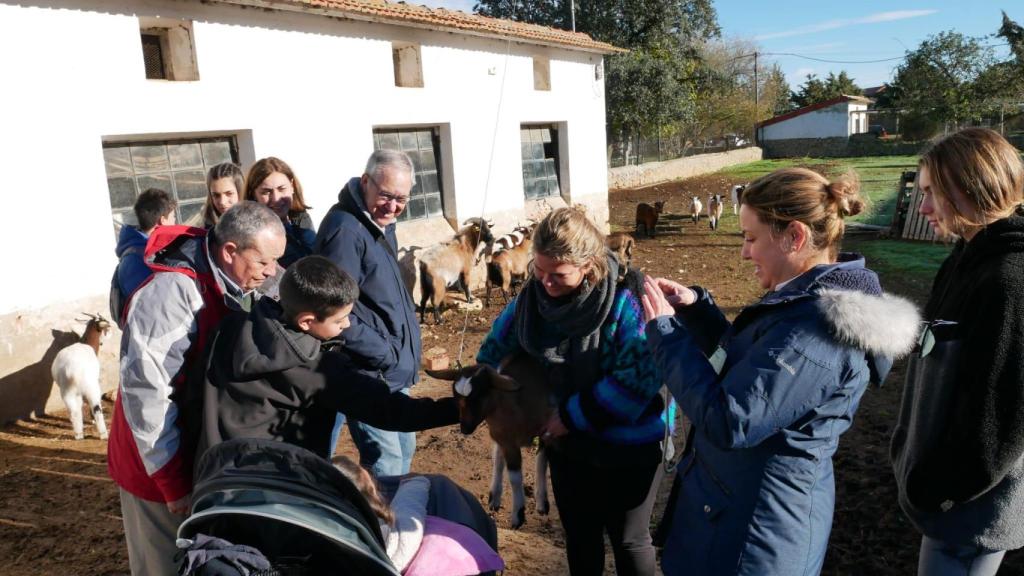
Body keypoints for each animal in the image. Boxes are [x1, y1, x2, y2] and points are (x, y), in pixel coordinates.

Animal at [425, 348, 552, 528]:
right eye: (456, 398)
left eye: (478, 396)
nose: (465, 429)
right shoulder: (506, 440)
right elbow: (510, 472)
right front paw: (518, 513)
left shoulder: (547, 430)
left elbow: (539, 463)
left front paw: (526, 510)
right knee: (498, 458)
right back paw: (495, 496)